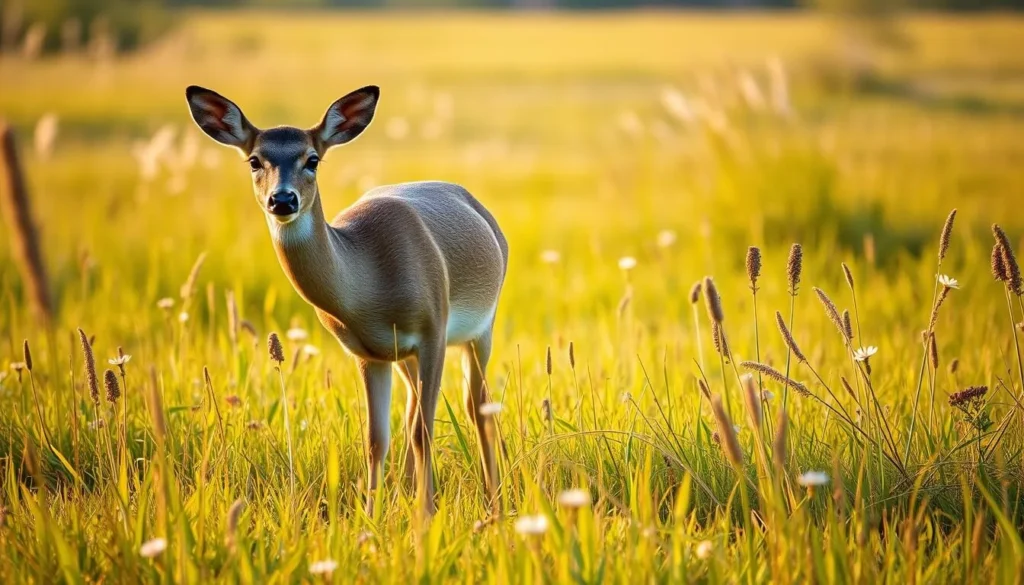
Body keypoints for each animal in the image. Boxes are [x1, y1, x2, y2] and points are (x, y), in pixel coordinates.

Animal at [185, 85, 507, 518]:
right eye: (254, 160)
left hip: (481, 328)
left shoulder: (433, 330)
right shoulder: (368, 352)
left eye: (312, 159)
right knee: (414, 409)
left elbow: (423, 429)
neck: (370, 282)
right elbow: (377, 438)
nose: (282, 200)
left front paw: (424, 518)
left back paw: (493, 503)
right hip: (403, 356)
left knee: (479, 409)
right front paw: (374, 516)